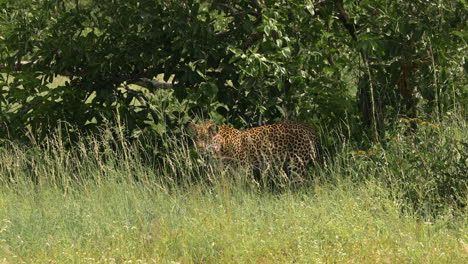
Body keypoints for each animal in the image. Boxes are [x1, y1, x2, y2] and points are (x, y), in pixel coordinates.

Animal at [188, 120, 320, 178]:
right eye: (196, 138)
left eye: (206, 138)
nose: (199, 148)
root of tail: (310, 128)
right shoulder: (228, 171)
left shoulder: (245, 169)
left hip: (297, 163)